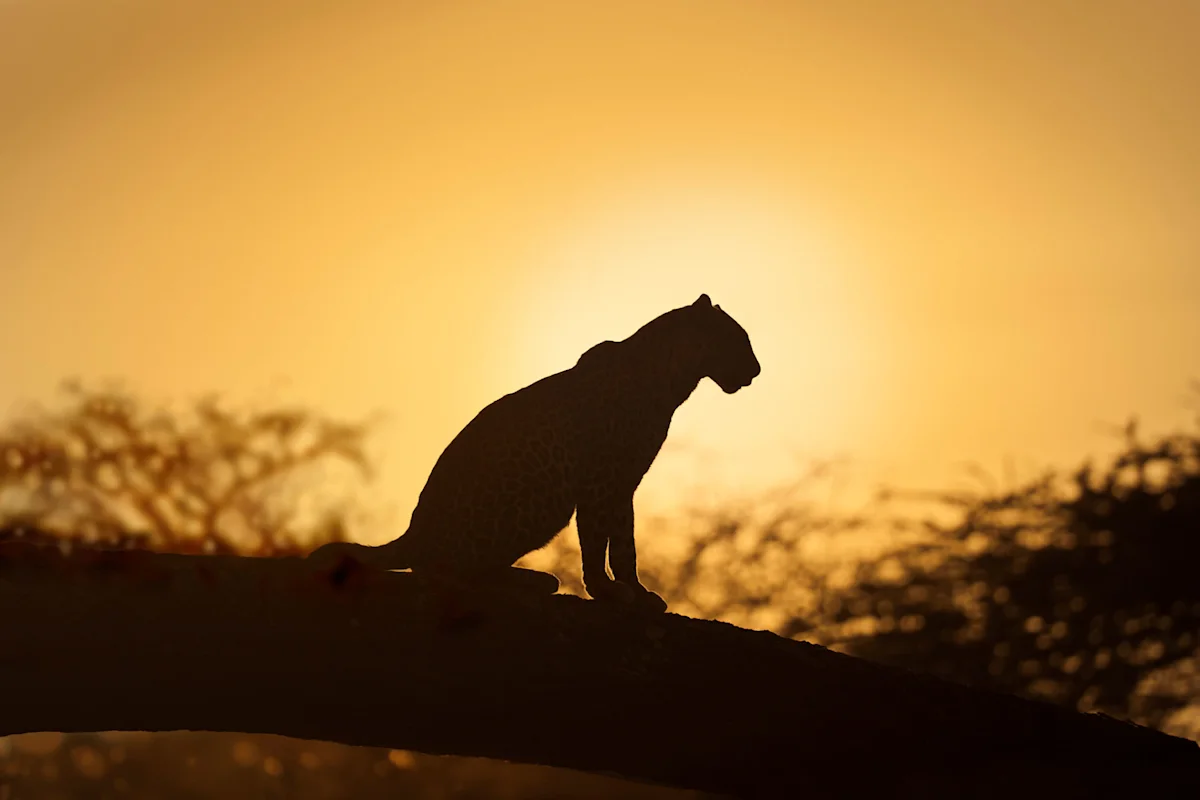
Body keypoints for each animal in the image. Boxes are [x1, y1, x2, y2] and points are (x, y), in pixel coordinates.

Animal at [308, 294, 760, 613]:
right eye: (739, 340)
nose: (756, 371)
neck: (671, 378)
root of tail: (413, 533)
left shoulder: (624, 484)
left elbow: (624, 543)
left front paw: (636, 592)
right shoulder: (599, 482)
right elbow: (597, 542)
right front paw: (607, 593)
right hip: (541, 501)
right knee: (447, 572)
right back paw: (531, 581)